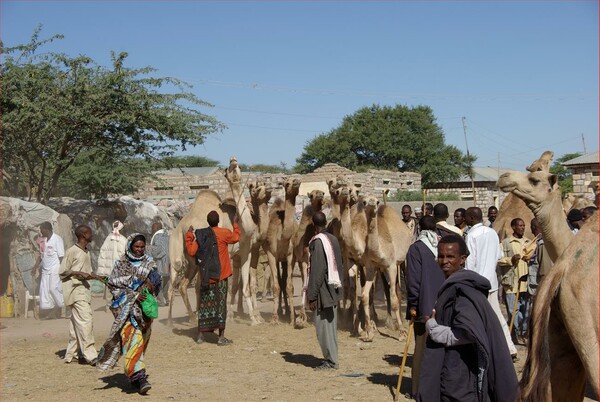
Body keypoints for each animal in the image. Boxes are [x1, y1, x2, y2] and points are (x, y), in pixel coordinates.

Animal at [262, 176, 300, 324]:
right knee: (278, 280)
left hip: (284, 259)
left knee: (283, 281)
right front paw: (274, 318)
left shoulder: (290, 256)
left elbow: (289, 286)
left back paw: (286, 311)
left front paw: (292, 317)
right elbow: (276, 286)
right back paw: (279, 311)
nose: (296, 181)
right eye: (286, 183)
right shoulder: (271, 255)